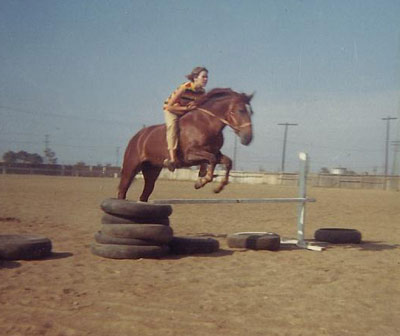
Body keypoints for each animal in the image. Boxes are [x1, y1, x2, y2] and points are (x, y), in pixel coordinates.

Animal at [117, 88, 253, 201]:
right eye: (241, 110)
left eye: (251, 113)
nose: (248, 138)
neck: (207, 123)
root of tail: (137, 137)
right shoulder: (189, 155)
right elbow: (212, 159)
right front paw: (201, 182)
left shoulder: (213, 153)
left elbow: (227, 162)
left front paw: (218, 187)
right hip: (131, 167)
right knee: (122, 190)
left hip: (151, 170)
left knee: (145, 194)